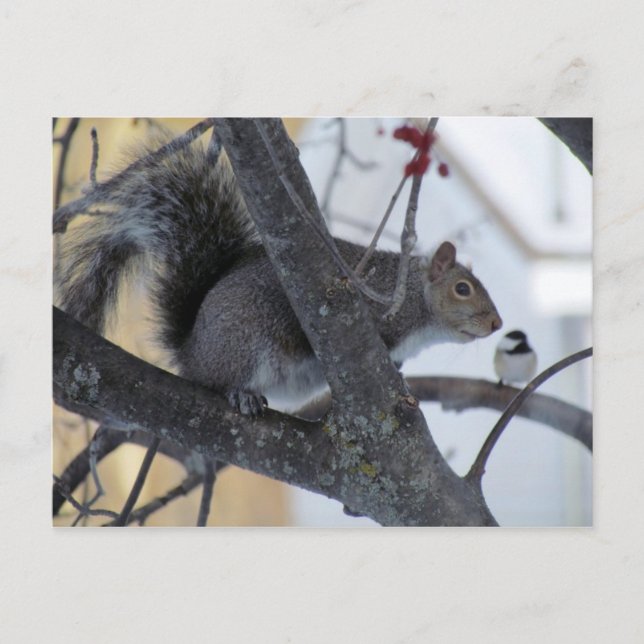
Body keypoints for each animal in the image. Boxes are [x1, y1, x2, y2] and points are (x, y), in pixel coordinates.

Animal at [54, 135, 503, 415]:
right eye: (463, 288)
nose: (497, 323)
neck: (412, 296)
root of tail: (191, 351)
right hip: (243, 345)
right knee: (220, 380)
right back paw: (241, 395)